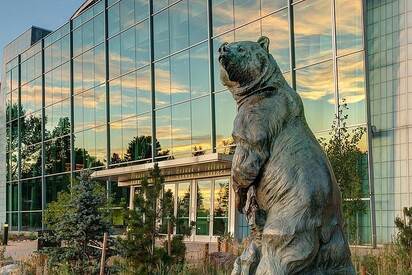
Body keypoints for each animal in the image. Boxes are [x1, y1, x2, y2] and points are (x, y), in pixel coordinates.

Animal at [217, 37, 356, 275]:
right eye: (228, 44)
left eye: (241, 47)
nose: (222, 48)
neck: (262, 88)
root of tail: (325, 226)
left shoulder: (255, 115)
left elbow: (246, 157)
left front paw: (239, 196)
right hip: (335, 235)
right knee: (338, 259)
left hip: (293, 214)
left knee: (277, 251)